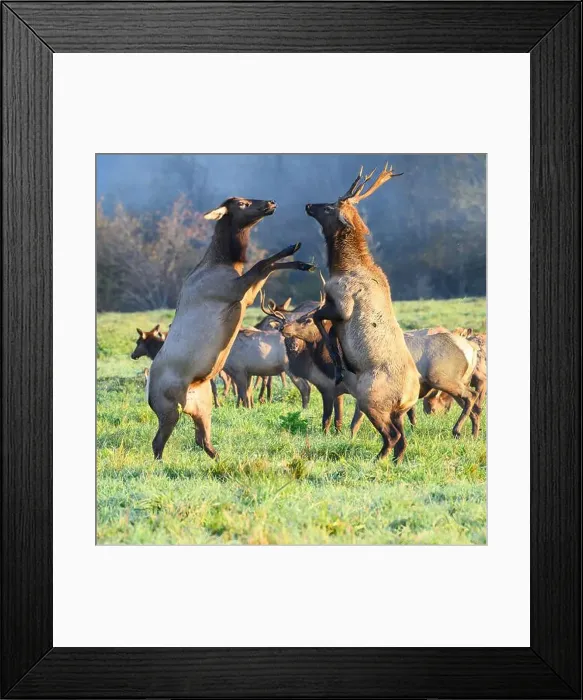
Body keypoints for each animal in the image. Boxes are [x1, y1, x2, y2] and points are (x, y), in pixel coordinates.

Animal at [147, 197, 314, 459]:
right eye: (243, 204)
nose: (270, 202)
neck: (225, 261)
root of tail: (147, 395)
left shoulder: (247, 294)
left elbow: (266, 267)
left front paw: (301, 260)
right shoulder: (233, 290)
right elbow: (261, 264)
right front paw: (292, 250)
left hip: (202, 405)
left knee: (201, 439)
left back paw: (219, 458)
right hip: (168, 406)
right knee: (158, 441)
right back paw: (160, 464)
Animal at [305, 164, 420, 461]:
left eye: (330, 207)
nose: (309, 204)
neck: (341, 267)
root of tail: (410, 396)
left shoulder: (342, 304)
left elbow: (318, 318)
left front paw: (338, 363)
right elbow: (322, 322)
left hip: (370, 399)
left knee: (392, 436)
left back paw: (377, 460)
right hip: (397, 412)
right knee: (402, 440)